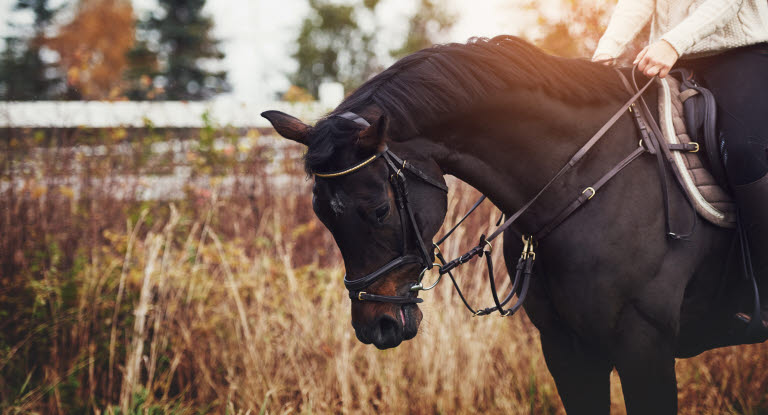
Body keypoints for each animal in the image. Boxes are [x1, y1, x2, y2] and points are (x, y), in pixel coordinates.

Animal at [262, 35, 760, 415]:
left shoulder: (645, 349)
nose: (375, 328)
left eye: (380, 210)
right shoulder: (567, 351)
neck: (581, 178)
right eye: (323, 215)